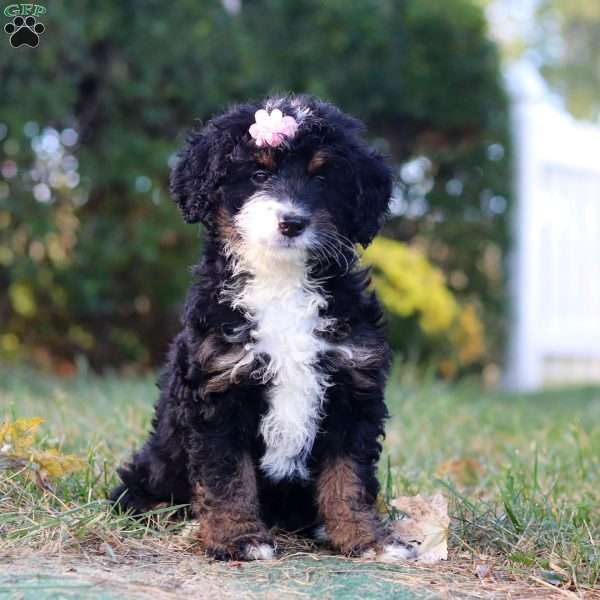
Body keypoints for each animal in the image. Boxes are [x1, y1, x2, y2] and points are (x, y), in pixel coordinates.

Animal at [111, 94, 418, 564]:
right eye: (259, 174)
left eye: (322, 177)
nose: (292, 222)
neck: (282, 281)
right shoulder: (218, 389)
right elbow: (227, 476)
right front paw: (239, 538)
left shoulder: (353, 386)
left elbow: (348, 476)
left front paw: (366, 538)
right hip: (158, 465)